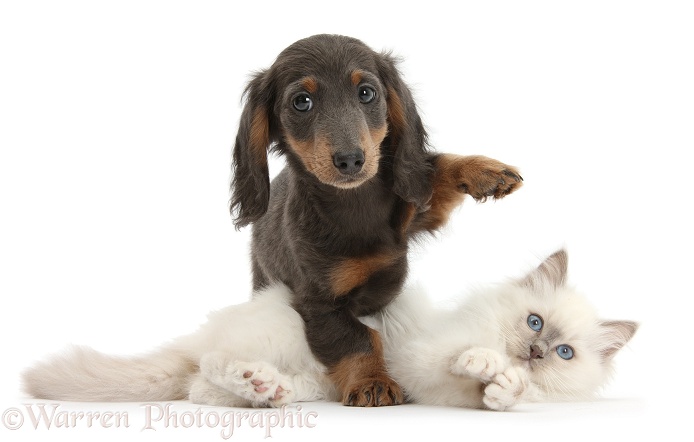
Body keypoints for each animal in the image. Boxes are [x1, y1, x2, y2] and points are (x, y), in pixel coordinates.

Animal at [21, 250, 640, 410]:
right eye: (534, 321)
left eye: (564, 353)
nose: (533, 350)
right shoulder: (420, 357)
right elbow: (459, 360)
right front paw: (485, 362)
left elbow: (500, 398)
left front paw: (505, 384)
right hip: (279, 337)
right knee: (207, 371)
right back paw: (252, 381)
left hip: (316, 378)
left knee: (202, 388)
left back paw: (266, 392)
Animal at [231, 34, 524, 408]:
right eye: (301, 102)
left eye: (367, 93)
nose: (351, 160)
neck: (355, 204)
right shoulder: (320, 303)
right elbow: (358, 339)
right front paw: (372, 381)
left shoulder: (415, 214)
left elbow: (437, 171)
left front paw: (486, 171)